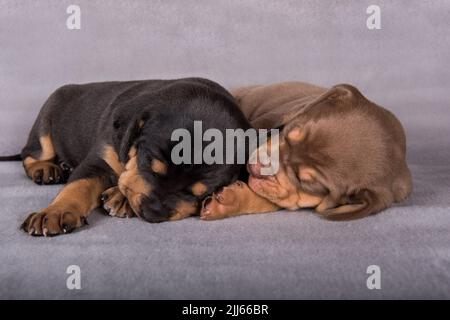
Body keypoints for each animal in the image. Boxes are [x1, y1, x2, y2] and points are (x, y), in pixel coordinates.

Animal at [20, 77, 250, 235]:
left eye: (202, 194)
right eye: (150, 164)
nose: (154, 212)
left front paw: (120, 197)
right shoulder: (100, 161)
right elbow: (78, 186)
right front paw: (56, 212)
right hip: (45, 123)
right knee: (30, 154)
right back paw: (46, 169)